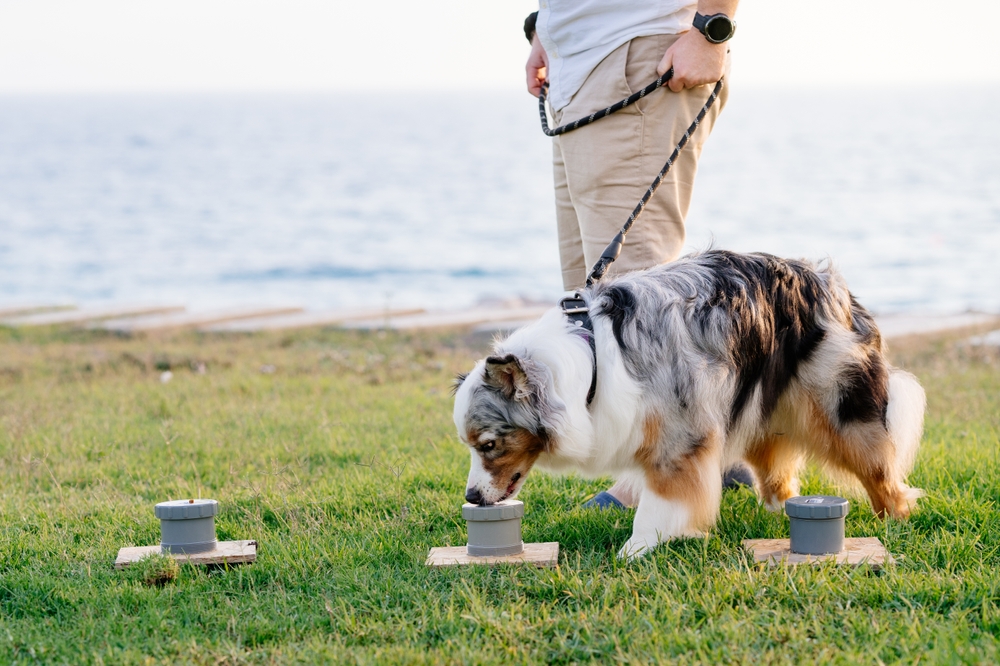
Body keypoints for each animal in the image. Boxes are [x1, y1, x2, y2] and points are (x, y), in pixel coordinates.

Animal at [452, 248, 920, 556]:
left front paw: (640, 546)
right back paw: (775, 513)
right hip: (759, 407)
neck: (590, 358)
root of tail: (833, 286)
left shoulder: (679, 438)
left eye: (489, 444)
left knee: (880, 470)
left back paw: (894, 520)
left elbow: (662, 502)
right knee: (777, 471)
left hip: (841, 409)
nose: (472, 497)